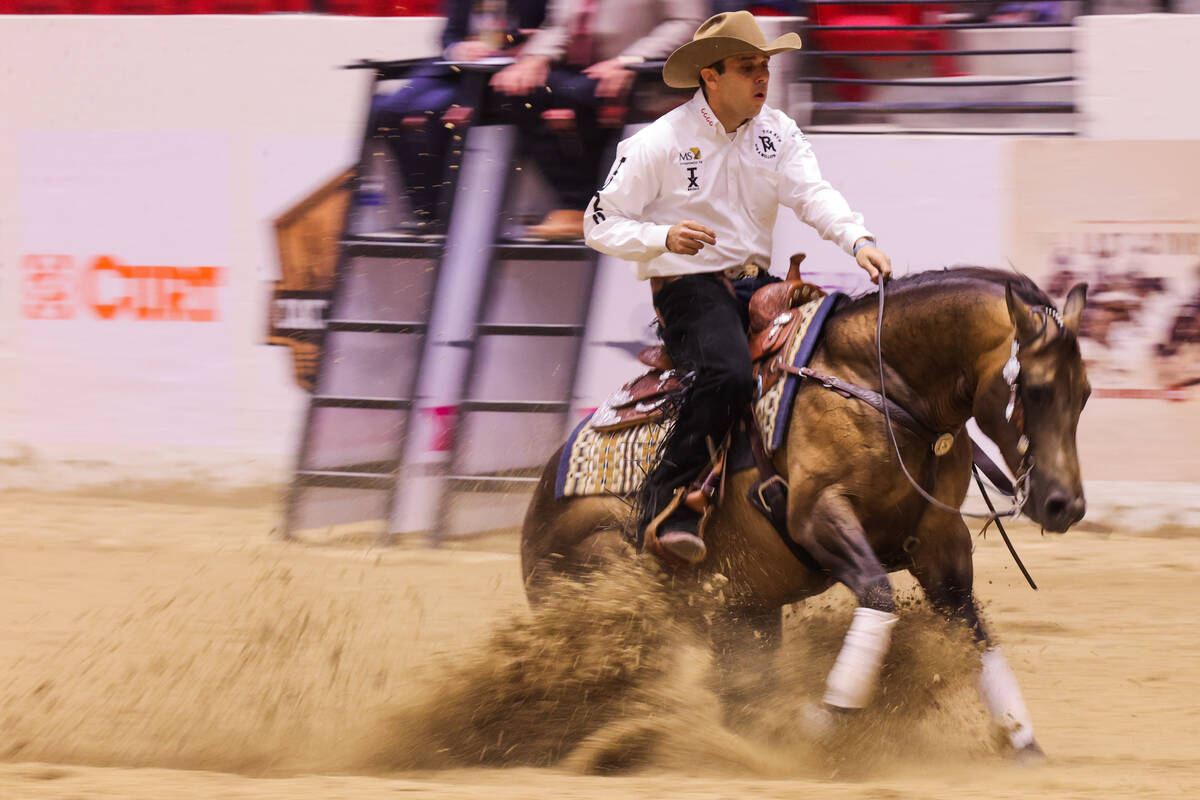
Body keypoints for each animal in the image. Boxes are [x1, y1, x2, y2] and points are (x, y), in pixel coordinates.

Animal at [520, 267, 1094, 758]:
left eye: (1086, 393)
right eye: (1036, 389)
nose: (1065, 505)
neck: (876, 385)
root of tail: (537, 504)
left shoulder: (941, 542)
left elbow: (975, 633)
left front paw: (1023, 742)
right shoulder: (818, 517)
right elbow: (879, 598)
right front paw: (824, 719)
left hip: (743, 613)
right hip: (619, 587)